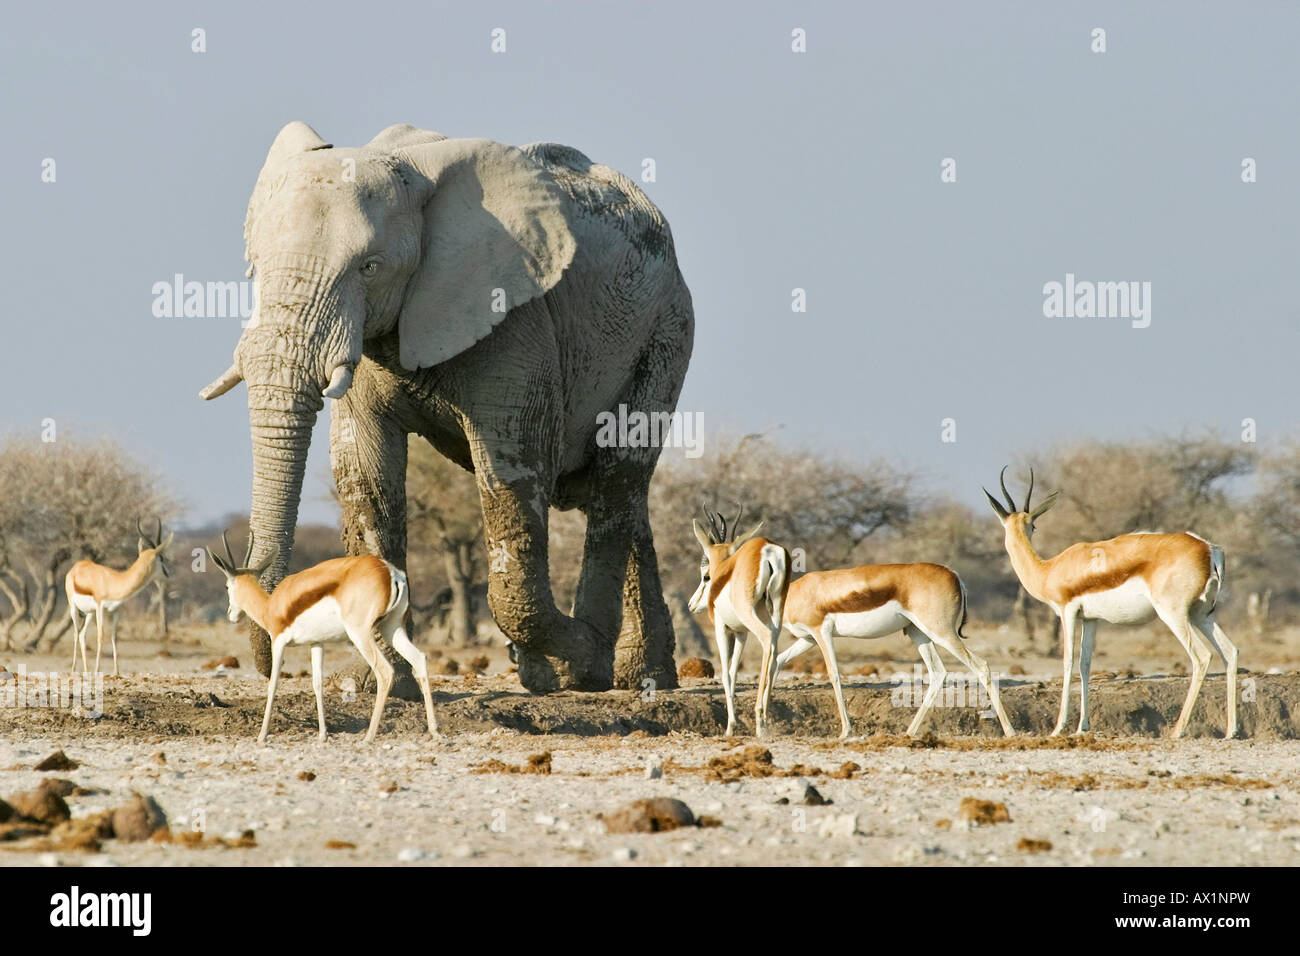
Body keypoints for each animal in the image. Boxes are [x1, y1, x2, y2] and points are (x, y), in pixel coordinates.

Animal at [198, 123, 696, 697]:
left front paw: (574, 665)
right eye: (253, 268)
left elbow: (512, 470)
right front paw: (379, 685)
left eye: (370, 268)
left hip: (666, 332)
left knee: (618, 476)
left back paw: (589, 674)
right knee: (623, 497)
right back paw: (639, 679)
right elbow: (366, 477)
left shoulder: (516, 319)